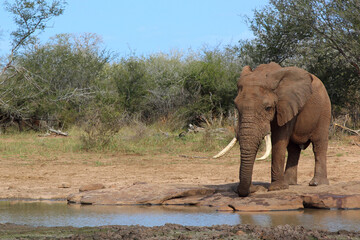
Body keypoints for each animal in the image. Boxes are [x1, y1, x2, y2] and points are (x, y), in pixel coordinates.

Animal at [215, 62, 330, 197]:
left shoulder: (286, 105)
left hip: (324, 109)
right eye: (236, 107)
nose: (253, 189)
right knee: (293, 149)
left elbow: (279, 140)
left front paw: (277, 188)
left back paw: (317, 184)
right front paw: (278, 187)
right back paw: (289, 183)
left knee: (319, 145)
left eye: (268, 108)